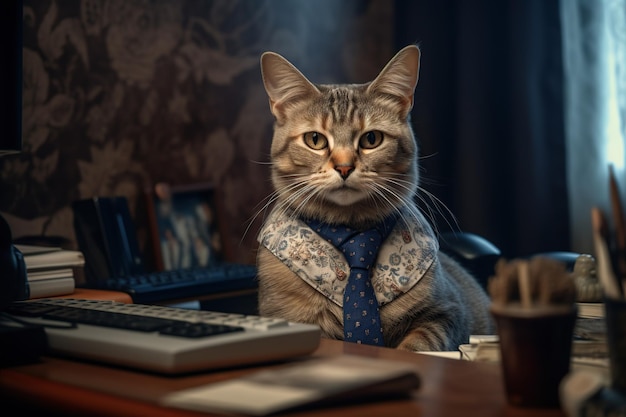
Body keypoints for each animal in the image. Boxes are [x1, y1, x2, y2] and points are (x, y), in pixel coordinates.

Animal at [254, 44, 492, 352]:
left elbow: (420, 343)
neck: (354, 235)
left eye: (371, 139)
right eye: (315, 140)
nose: (344, 167)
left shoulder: (447, 313)